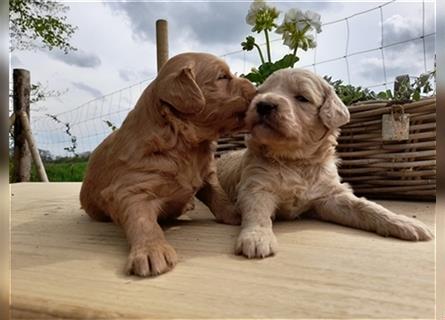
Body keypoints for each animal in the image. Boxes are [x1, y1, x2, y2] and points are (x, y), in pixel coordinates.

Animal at [79, 52, 253, 276]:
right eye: (222, 77)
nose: (255, 87)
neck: (184, 143)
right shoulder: (128, 191)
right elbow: (143, 221)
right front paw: (152, 251)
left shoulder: (207, 175)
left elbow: (218, 195)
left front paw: (236, 213)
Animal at [217, 69, 432, 258]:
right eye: (259, 93)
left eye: (302, 98)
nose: (263, 105)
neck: (295, 161)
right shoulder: (256, 186)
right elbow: (257, 211)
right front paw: (256, 237)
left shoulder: (329, 195)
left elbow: (365, 206)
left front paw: (403, 222)